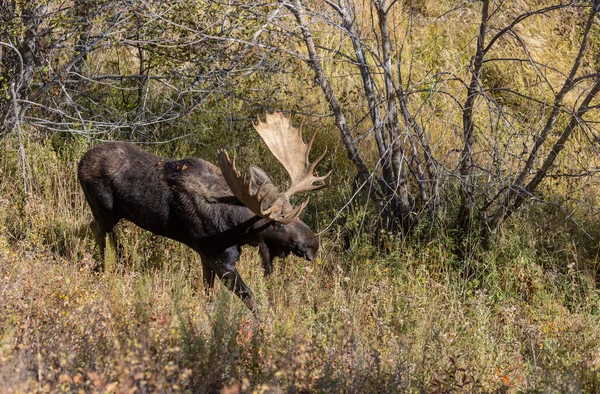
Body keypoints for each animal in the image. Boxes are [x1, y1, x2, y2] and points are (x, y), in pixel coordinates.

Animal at [77, 112, 330, 312]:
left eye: (294, 211)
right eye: (278, 222)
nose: (313, 245)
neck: (237, 228)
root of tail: (79, 162)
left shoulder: (206, 257)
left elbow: (208, 294)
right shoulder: (219, 258)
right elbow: (250, 298)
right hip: (104, 211)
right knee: (98, 230)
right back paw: (102, 268)